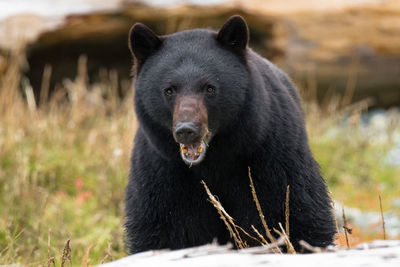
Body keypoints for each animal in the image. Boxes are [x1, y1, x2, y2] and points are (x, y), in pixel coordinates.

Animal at [124, 15, 334, 254]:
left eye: (209, 88)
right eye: (169, 90)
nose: (187, 130)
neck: (214, 162)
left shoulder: (271, 153)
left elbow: (294, 209)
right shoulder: (162, 169)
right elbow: (162, 225)